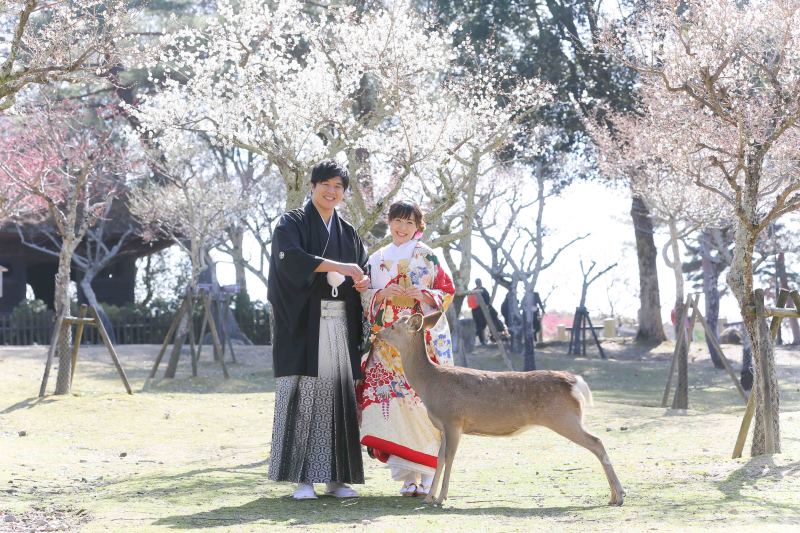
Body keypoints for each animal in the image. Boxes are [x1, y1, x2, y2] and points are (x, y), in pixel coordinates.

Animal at [376, 312, 624, 508]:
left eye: (393, 326)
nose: (377, 334)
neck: (430, 384)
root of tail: (574, 382)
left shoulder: (453, 419)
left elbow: (450, 457)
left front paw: (440, 498)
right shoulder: (444, 426)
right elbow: (439, 458)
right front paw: (430, 498)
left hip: (564, 418)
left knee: (597, 442)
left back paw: (618, 496)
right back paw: (615, 495)